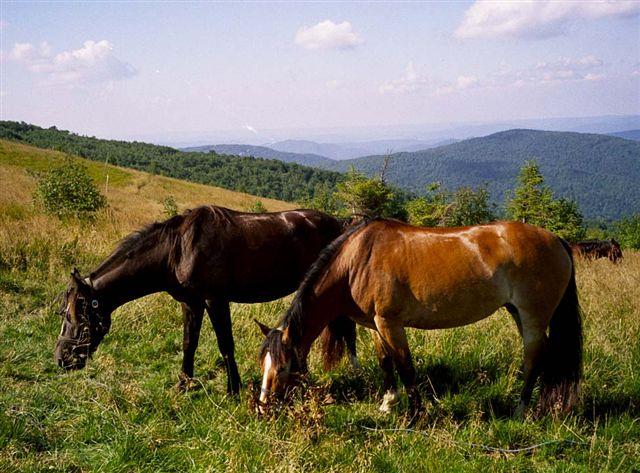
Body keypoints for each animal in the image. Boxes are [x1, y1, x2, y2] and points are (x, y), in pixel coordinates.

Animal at [55, 205, 358, 392]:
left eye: (74, 315)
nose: (61, 358)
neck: (177, 249)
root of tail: (340, 223)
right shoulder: (190, 302)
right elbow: (189, 343)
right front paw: (183, 384)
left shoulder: (215, 300)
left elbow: (226, 344)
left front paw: (233, 389)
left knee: (348, 332)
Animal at [258, 219, 584, 418]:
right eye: (263, 364)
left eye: (284, 366)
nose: (263, 408)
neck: (357, 260)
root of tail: (556, 240)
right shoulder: (375, 325)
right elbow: (386, 362)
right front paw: (388, 403)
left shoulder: (390, 323)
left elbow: (405, 366)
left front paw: (415, 415)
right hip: (517, 311)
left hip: (532, 315)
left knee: (534, 357)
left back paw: (520, 409)